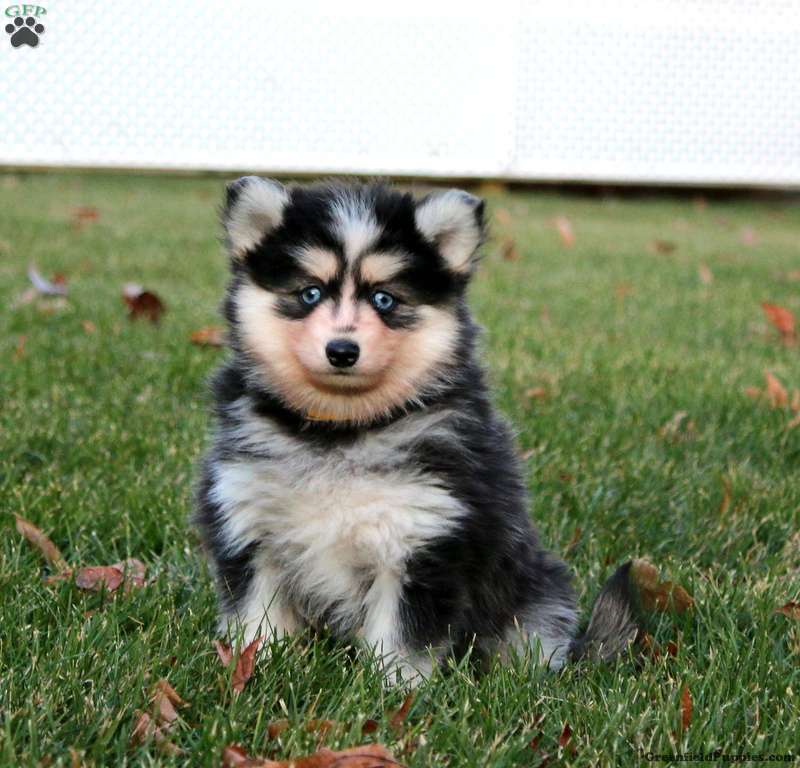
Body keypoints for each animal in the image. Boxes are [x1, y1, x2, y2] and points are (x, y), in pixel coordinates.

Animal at [195, 177, 638, 683]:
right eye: (309, 293)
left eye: (384, 298)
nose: (342, 350)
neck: (341, 430)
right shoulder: (250, 522)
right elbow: (257, 617)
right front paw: (255, 668)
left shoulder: (423, 539)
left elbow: (401, 638)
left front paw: (390, 691)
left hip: (536, 594)